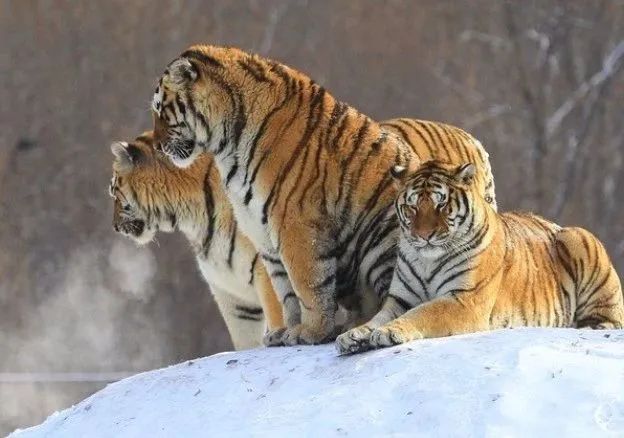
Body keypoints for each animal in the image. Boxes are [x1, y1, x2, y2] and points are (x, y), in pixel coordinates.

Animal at [150, 44, 498, 346]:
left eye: (160, 109)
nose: (158, 146)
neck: (226, 146)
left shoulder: (296, 224)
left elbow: (308, 284)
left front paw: (311, 332)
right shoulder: (262, 232)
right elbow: (284, 289)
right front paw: (285, 333)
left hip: (379, 242)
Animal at [336, 159, 624, 354]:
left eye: (441, 204)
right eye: (412, 206)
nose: (424, 235)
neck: (427, 259)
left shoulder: (464, 300)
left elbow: (423, 312)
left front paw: (388, 332)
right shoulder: (400, 299)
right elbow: (377, 318)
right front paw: (354, 335)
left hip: (580, 237)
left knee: (610, 321)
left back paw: (586, 327)